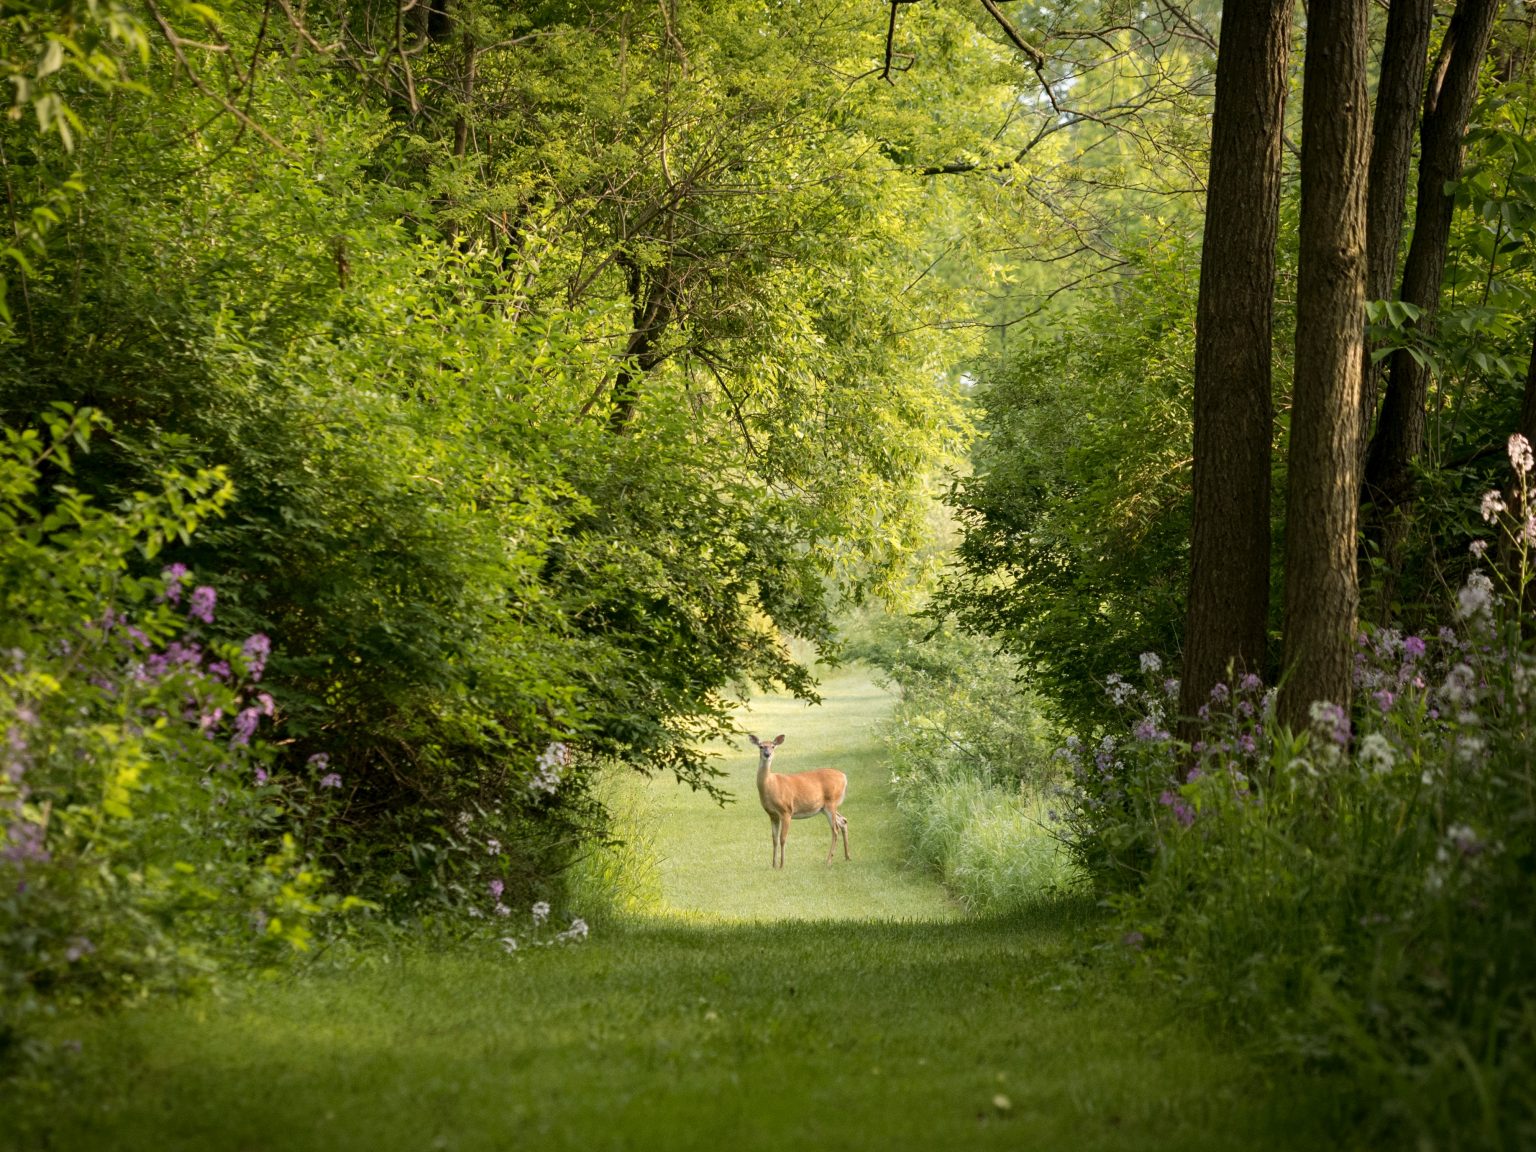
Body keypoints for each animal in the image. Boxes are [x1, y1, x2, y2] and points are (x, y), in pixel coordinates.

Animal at [747, 734, 849, 869]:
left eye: (773, 746)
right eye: (761, 746)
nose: (767, 754)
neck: (771, 785)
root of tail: (844, 776)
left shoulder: (786, 811)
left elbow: (782, 838)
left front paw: (782, 865)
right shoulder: (772, 814)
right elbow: (774, 839)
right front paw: (773, 865)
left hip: (831, 802)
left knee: (835, 829)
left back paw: (828, 861)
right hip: (824, 807)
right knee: (843, 821)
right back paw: (847, 856)